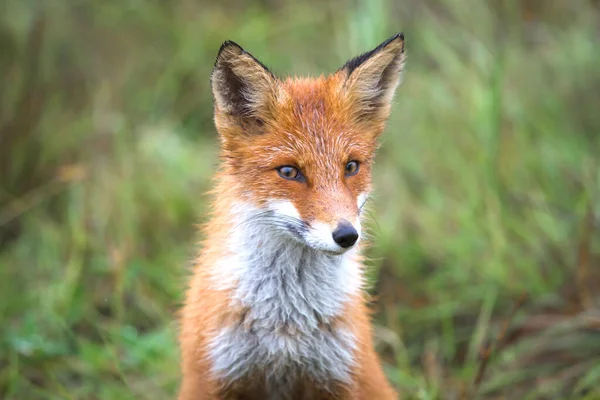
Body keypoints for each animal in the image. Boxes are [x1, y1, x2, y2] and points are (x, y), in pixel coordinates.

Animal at [176, 34, 406, 400]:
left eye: (351, 167)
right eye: (289, 172)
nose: (347, 235)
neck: (285, 325)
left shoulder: (340, 376)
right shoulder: (210, 378)